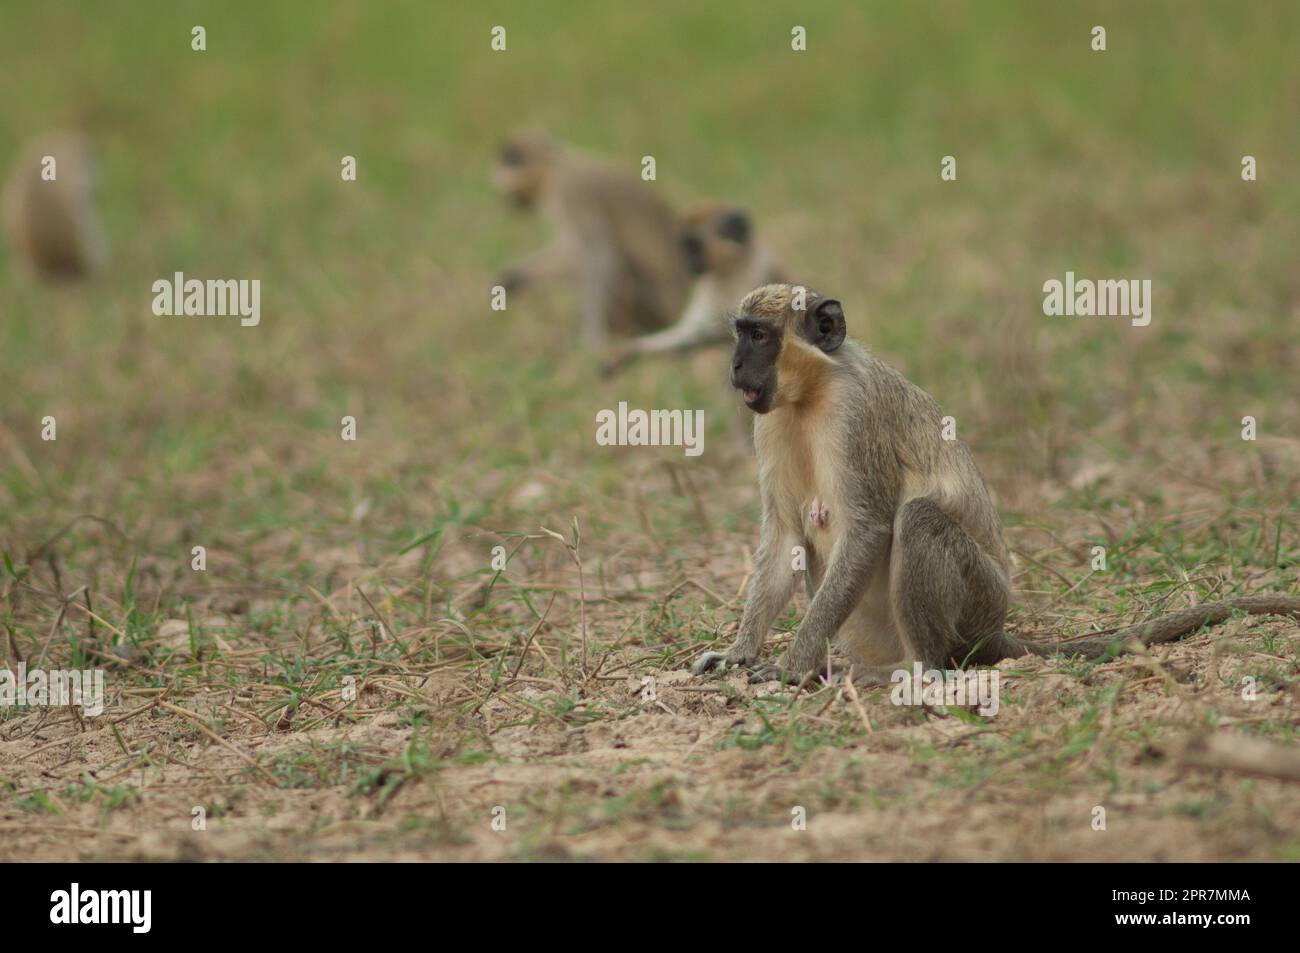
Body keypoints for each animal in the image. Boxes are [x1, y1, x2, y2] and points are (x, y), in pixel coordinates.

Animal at [488, 128, 691, 348]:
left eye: (511, 160)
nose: (509, 202)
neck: (556, 168)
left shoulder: (571, 193)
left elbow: (601, 256)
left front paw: (591, 338)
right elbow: (571, 253)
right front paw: (517, 276)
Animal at [598, 202, 780, 377]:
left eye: (695, 247)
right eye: (685, 247)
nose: (688, 263)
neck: (728, 272)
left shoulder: (761, 275)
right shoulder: (705, 290)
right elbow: (688, 333)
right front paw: (628, 352)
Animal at [696, 282, 1300, 686]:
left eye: (759, 336)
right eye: (741, 334)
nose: (735, 368)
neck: (811, 395)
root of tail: (996, 628)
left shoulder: (854, 412)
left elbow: (866, 530)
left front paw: (790, 667)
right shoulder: (769, 422)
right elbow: (784, 540)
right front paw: (740, 655)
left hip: (978, 601)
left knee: (918, 521)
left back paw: (916, 668)